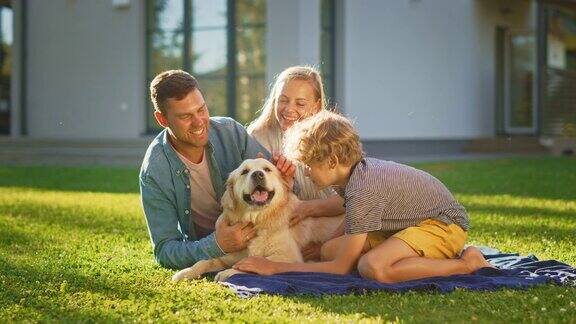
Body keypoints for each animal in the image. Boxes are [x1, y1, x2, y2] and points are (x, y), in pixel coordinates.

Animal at [172, 158, 342, 280]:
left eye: (267, 169)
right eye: (245, 172)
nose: (257, 174)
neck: (258, 219)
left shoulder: (290, 258)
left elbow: (253, 264)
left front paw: (227, 272)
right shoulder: (233, 255)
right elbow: (205, 261)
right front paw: (185, 272)